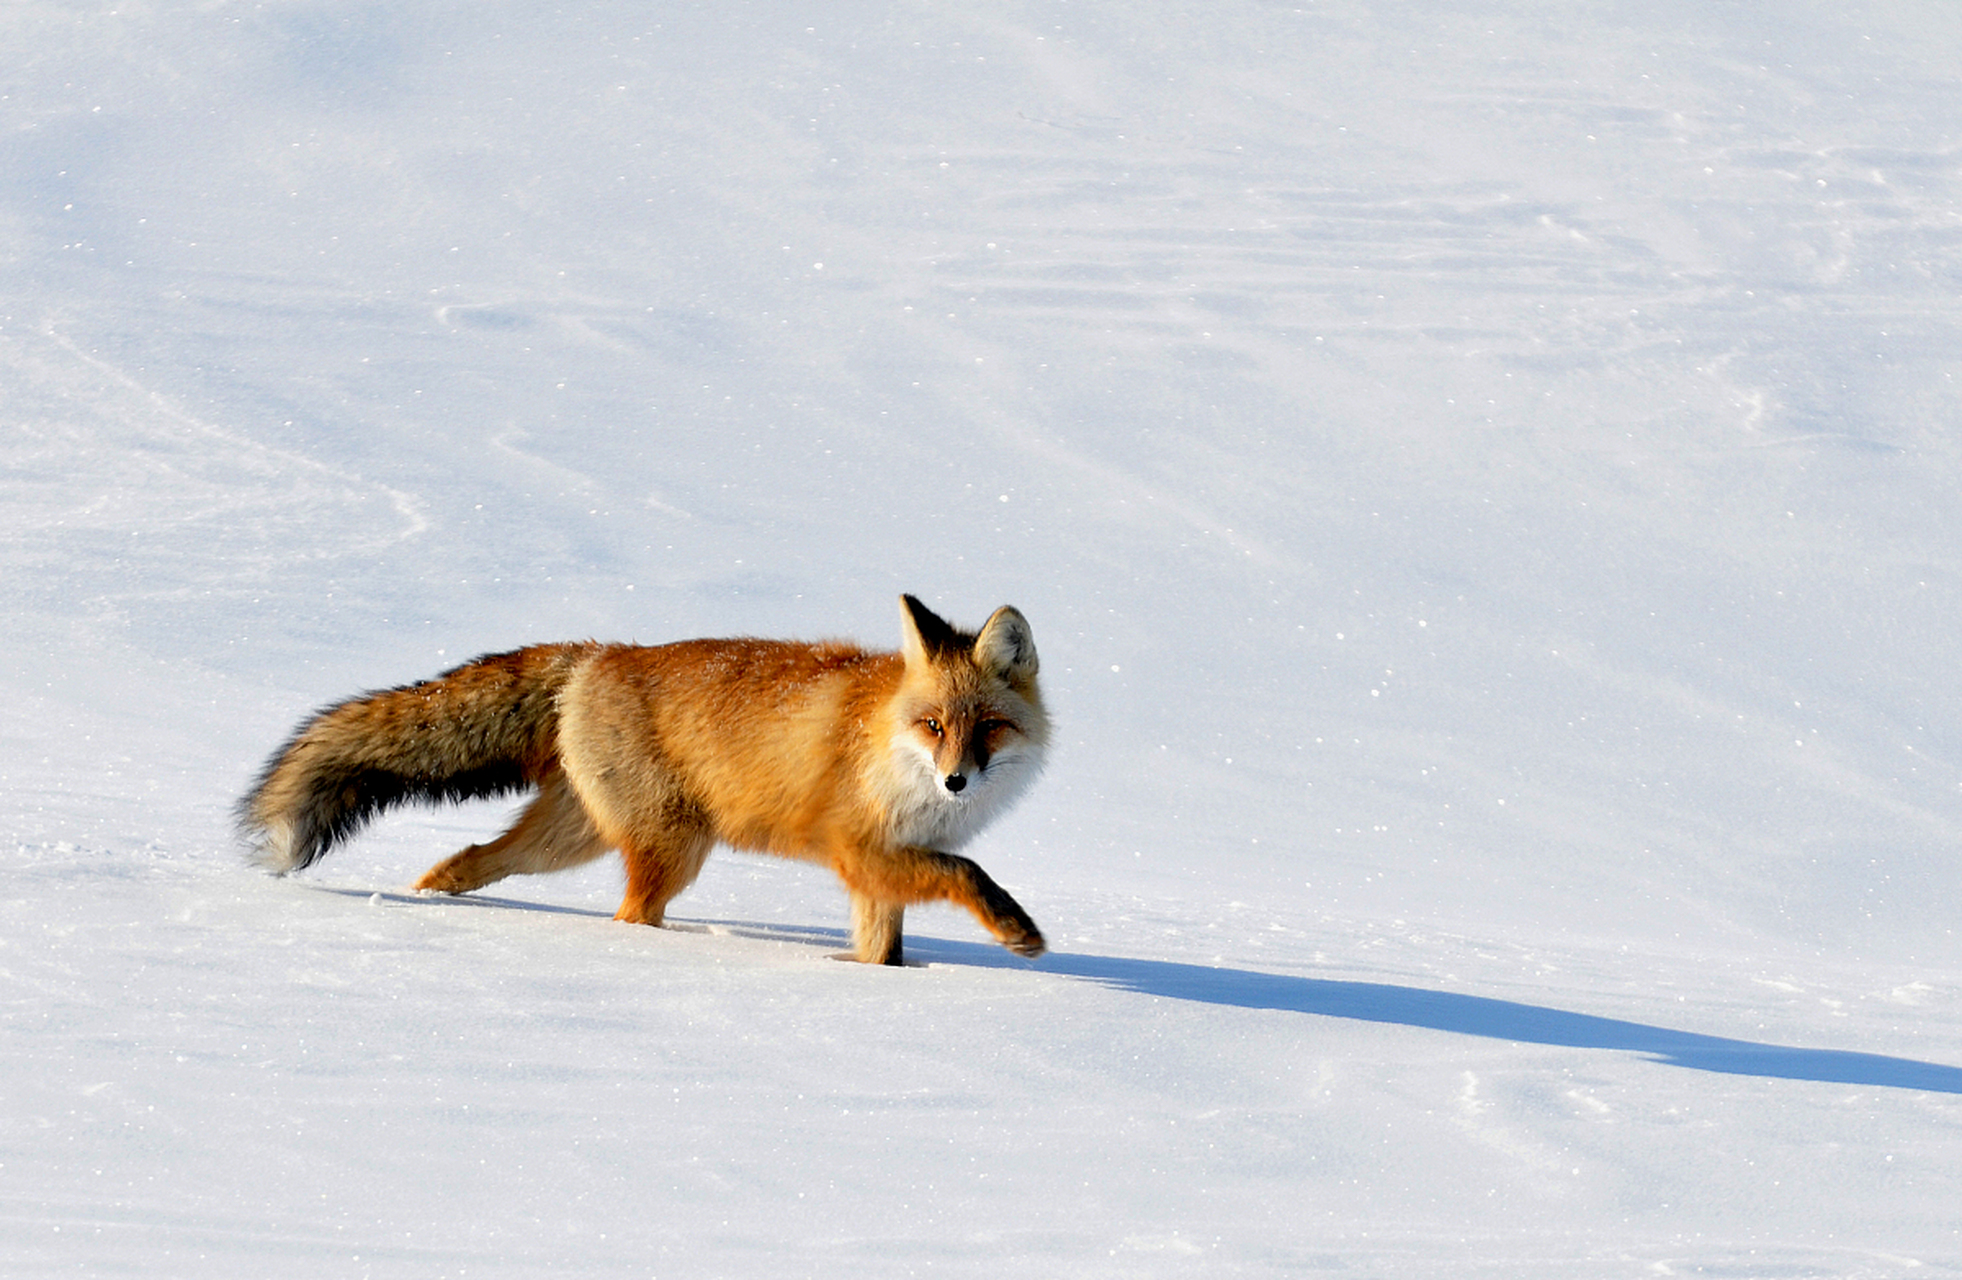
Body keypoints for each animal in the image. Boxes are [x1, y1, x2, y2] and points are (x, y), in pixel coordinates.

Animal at [239, 596, 1051, 965]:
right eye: (934, 726)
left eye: (988, 727)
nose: (956, 783)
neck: (884, 742)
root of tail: (597, 653)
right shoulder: (858, 848)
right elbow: (967, 873)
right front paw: (1016, 930)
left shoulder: (875, 872)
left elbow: (884, 948)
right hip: (671, 847)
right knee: (629, 917)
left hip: (567, 841)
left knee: (469, 858)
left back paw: (429, 899)